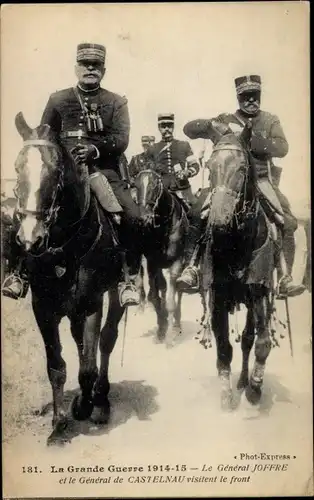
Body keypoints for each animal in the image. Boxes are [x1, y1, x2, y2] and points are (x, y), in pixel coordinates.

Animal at [11, 114, 131, 446]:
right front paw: (58, 424)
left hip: (114, 295)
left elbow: (88, 366)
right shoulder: (43, 308)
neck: (64, 246)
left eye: (55, 170)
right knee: (80, 343)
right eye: (17, 166)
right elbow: (56, 365)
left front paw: (82, 406)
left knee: (106, 340)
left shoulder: (91, 304)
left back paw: (99, 401)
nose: (30, 239)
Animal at [133, 168, 188, 344]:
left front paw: (170, 334)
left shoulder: (177, 262)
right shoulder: (152, 263)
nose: (143, 217)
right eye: (136, 185)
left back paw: (176, 323)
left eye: (154, 185)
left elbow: (171, 300)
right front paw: (161, 330)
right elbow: (155, 298)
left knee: (178, 291)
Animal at [197, 124, 276, 410]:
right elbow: (223, 348)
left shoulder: (259, 292)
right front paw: (225, 394)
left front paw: (255, 387)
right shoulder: (218, 296)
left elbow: (261, 343)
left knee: (249, 340)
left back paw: (244, 381)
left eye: (242, 169)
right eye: (210, 168)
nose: (218, 222)